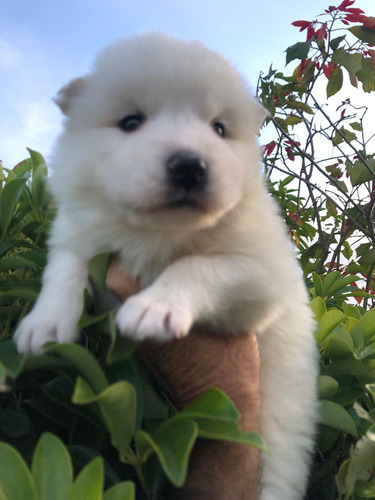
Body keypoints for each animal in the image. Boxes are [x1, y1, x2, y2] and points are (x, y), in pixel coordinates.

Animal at [15, 35, 320, 500]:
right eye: (131, 122)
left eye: (219, 129)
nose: (190, 166)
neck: (158, 232)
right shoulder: (79, 230)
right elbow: (65, 266)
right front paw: (44, 323)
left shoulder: (263, 276)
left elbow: (196, 266)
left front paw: (154, 308)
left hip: (286, 412)